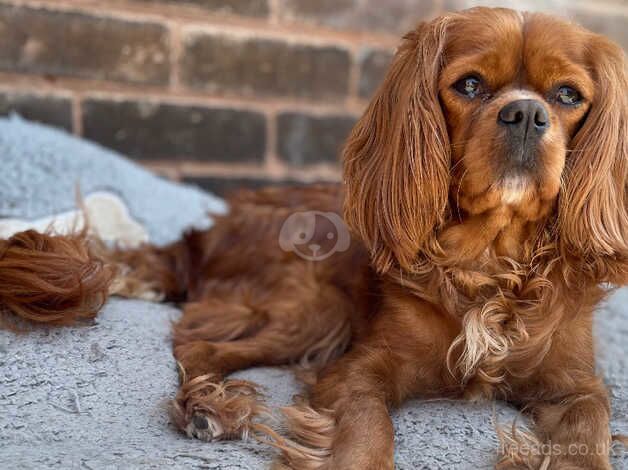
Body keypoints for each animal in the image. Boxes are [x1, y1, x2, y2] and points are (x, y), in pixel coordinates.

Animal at [0, 7, 624, 470]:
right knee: (195, 343)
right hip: (319, 306)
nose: (525, 114)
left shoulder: (577, 385)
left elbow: (589, 429)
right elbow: (368, 431)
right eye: (469, 85)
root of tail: (205, 230)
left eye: (568, 96)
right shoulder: (358, 370)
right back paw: (207, 406)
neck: (490, 259)